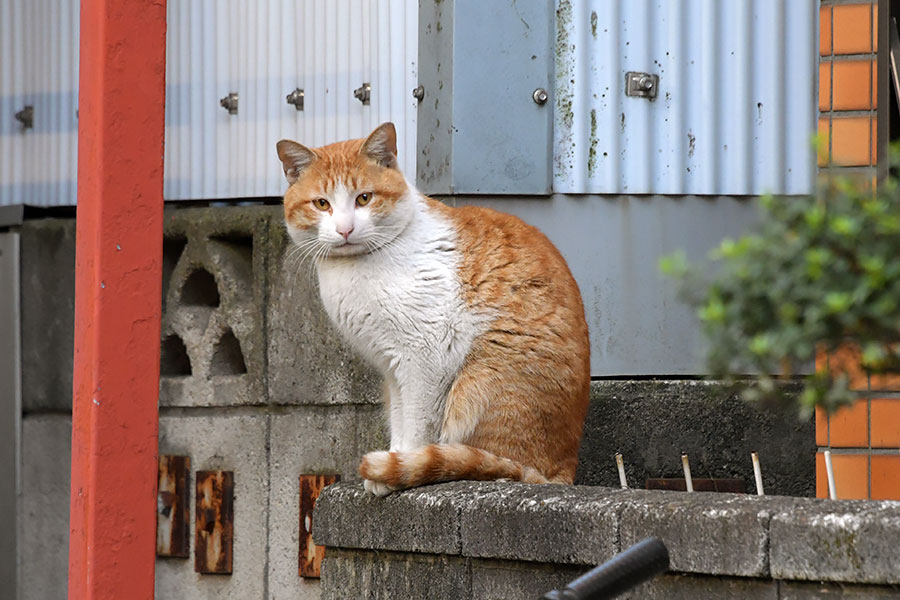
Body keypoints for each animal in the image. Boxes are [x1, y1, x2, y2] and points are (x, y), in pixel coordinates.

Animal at [276, 123, 592, 496]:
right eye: (322, 204)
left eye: (364, 198)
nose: (345, 229)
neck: (355, 269)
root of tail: (567, 470)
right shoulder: (392, 368)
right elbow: (400, 420)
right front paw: (394, 460)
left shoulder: (423, 357)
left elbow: (416, 424)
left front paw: (397, 471)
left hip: (479, 381)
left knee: (509, 467)